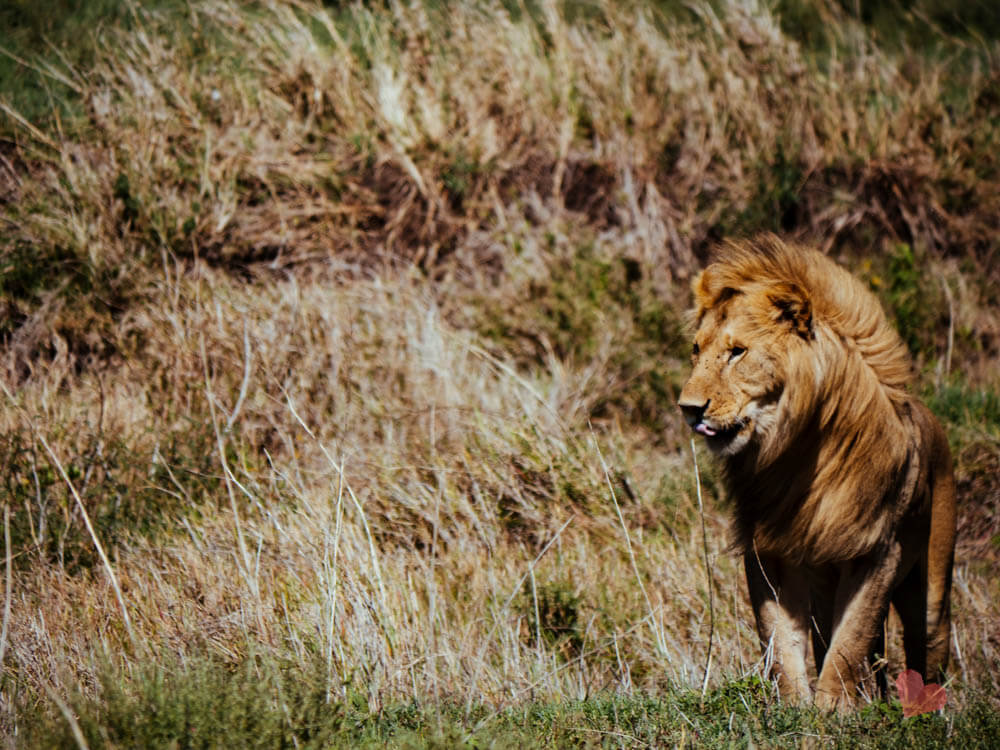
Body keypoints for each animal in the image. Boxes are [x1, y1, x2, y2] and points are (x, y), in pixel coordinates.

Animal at [676, 235, 956, 712]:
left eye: (737, 352)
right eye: (697, 350)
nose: (689, 409)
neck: (794, 456)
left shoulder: (880, 553)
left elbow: (850, 641)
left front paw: (832, 710)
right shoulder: (769, 552)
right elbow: (780, 642)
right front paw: (795, 709)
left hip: (933, 587)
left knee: (927, 648)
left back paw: (922, 713)